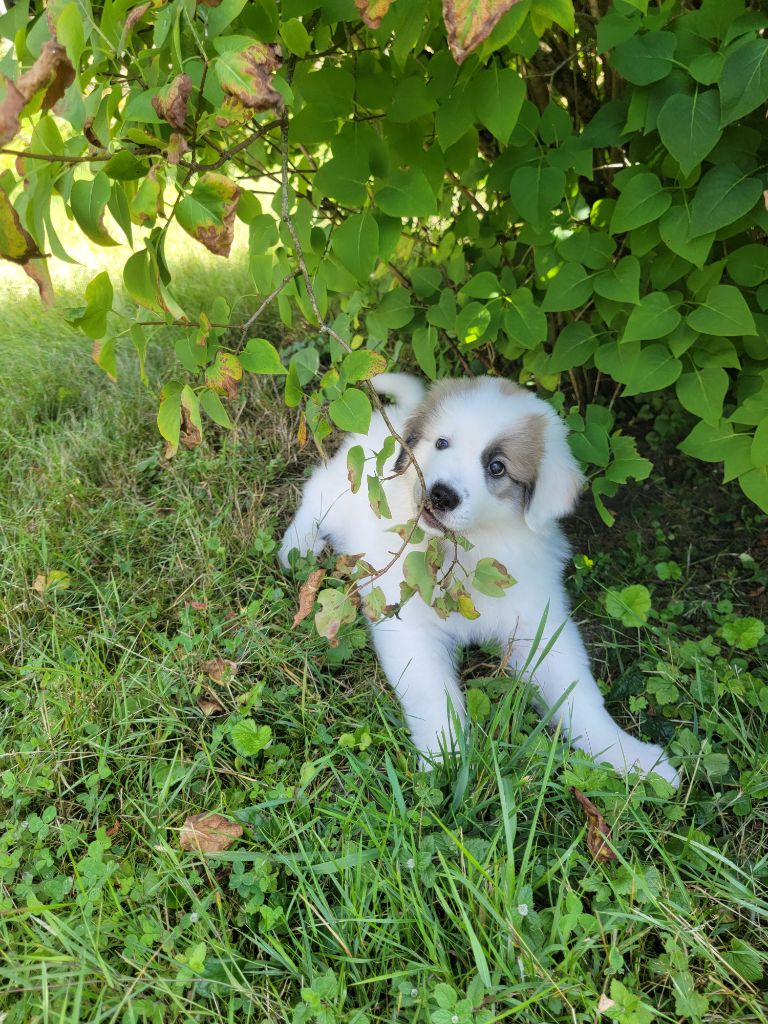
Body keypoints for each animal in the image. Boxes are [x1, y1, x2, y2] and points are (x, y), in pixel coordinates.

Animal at [279, 373, 679, 787]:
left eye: (497, 467)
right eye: (441, 443)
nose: (440, 495)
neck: (471, 550)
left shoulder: (538, 624)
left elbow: (580, 698)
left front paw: (632, 757)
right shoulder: (411, 629)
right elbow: (434, 694)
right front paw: (444, 760)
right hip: (349, 487)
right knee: (317, 493)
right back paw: (298, 546)